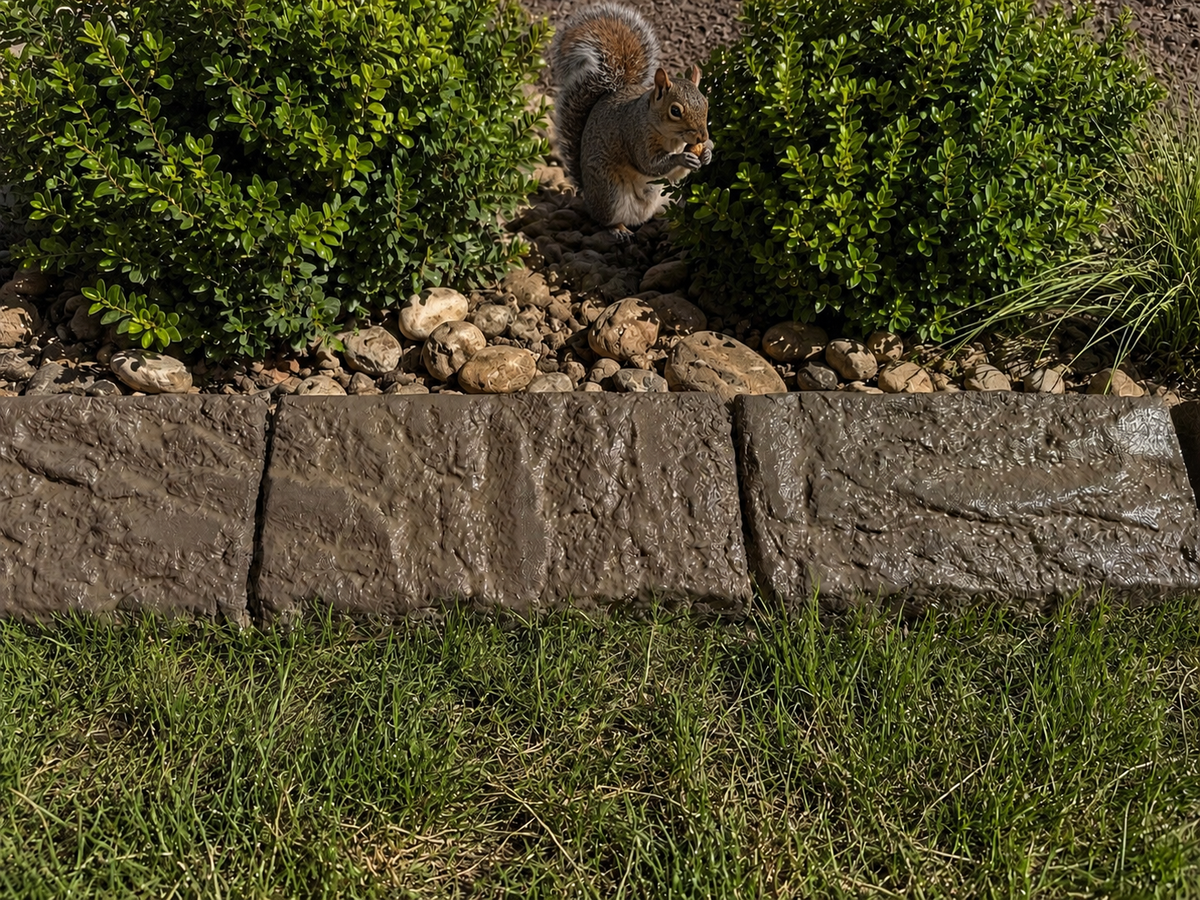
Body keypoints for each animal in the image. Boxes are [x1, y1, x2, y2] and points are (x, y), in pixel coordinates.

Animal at [548, 2, 713, 238]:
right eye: (675, 111)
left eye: (706, 103)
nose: (701, 136)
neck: (672, 138)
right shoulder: (634, 134)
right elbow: (649, 164)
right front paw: (683, 157)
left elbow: (677, 173)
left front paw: (707, 152)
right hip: (609, 192)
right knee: (604, 219)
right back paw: (619, 229)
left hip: (667, 195)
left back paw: (668, 222)